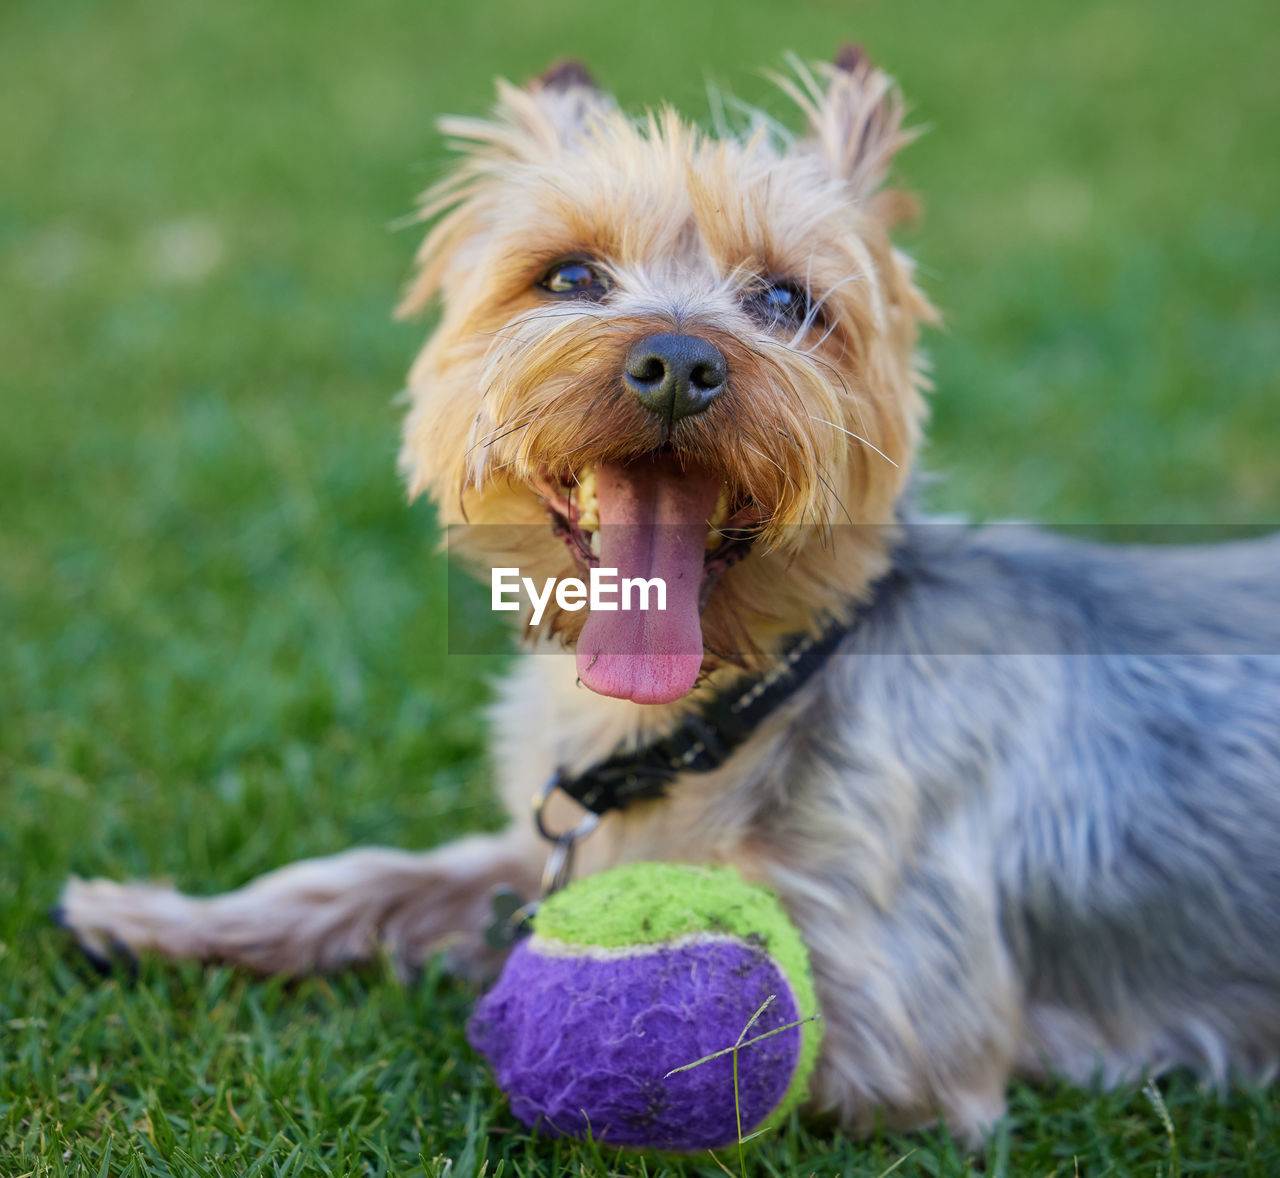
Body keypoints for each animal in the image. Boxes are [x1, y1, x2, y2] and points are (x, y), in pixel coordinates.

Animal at [57, 48, 1280, 1142]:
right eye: (566, 277)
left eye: (786, 299)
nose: (679, 361)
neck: (725, 710)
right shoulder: (556, 842)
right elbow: (381, 875)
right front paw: (160, 917)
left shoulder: (904, 1018)